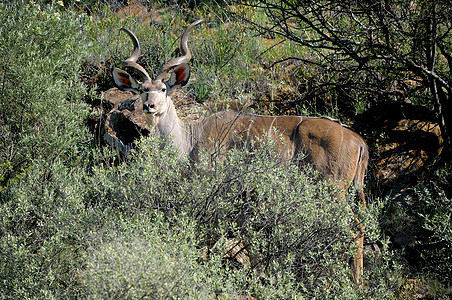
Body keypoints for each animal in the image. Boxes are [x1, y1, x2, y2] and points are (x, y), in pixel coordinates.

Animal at [112, 19, 368, 284]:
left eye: (164, 88)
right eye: (142, 89)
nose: (149, 106)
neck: (191, 139)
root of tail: (359, 141)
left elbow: (215, 231)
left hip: (332, 189)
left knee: (354, 227)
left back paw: (355, 283)